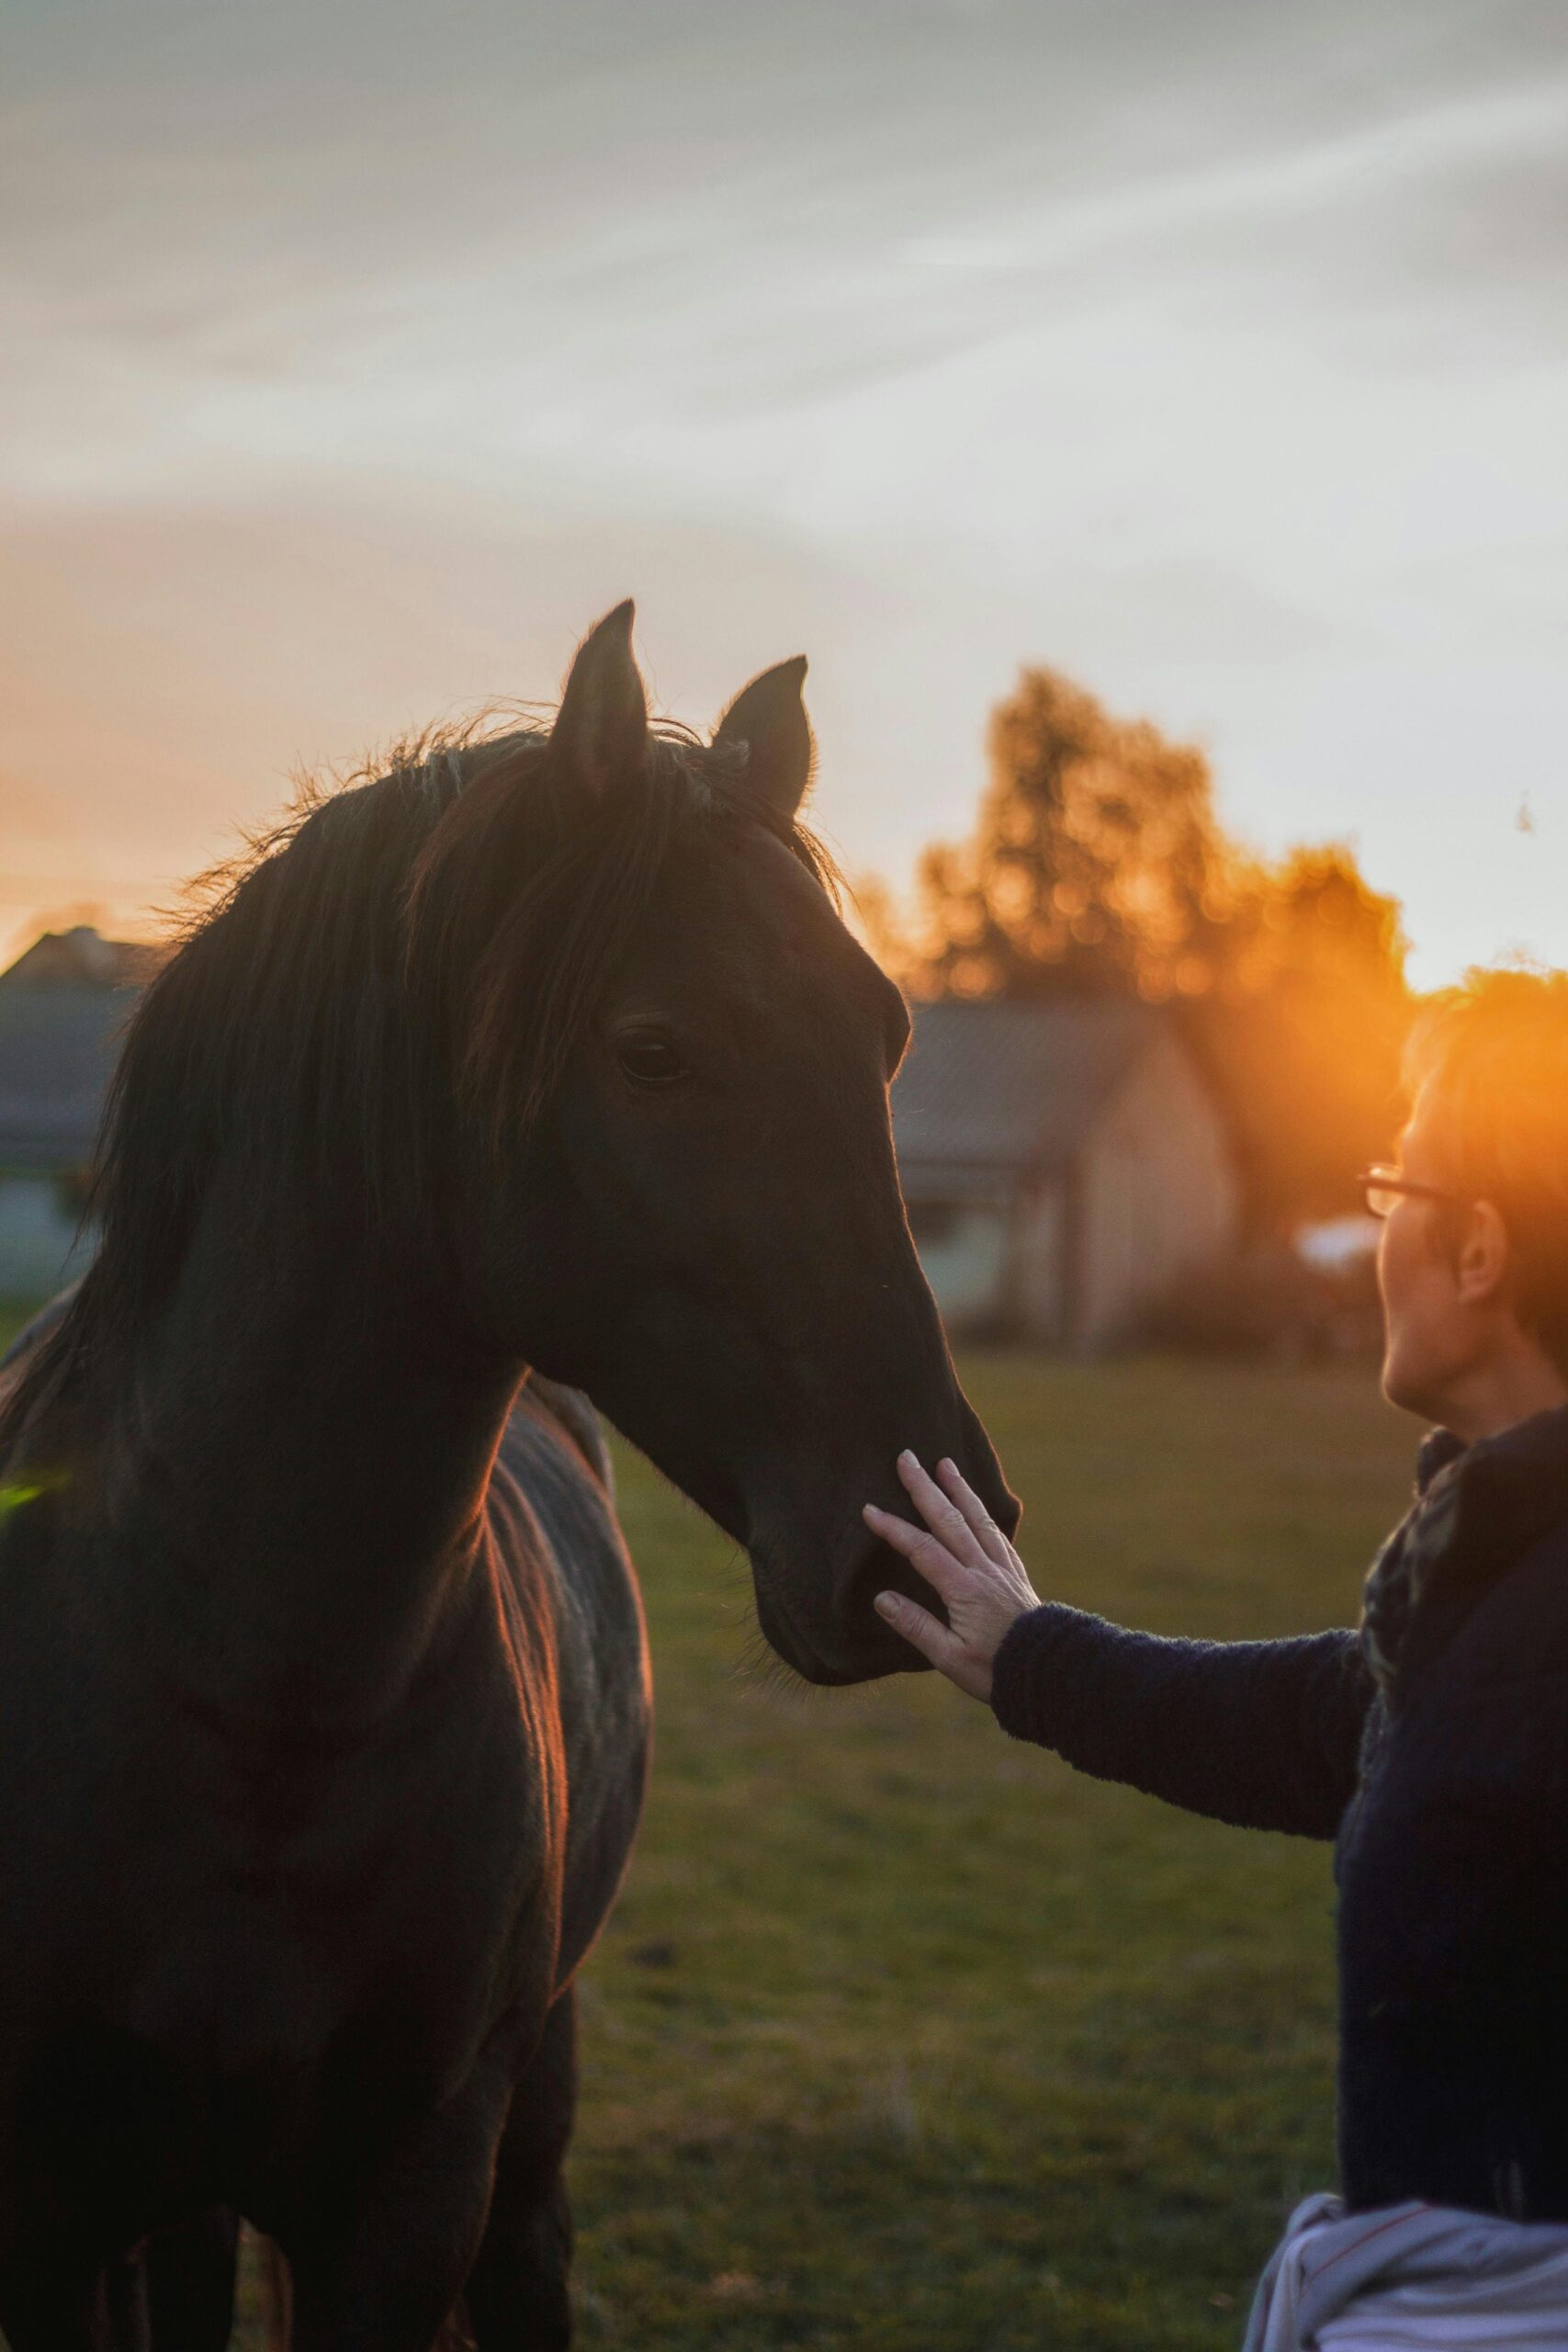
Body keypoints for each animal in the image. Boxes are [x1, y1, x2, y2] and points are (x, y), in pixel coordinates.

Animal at [0, 611, 1020, 2352]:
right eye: (652, 1047)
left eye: (883, 1034)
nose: (912, 1543)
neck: (246, 1690)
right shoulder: (52, 2216)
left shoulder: (411, 2193)